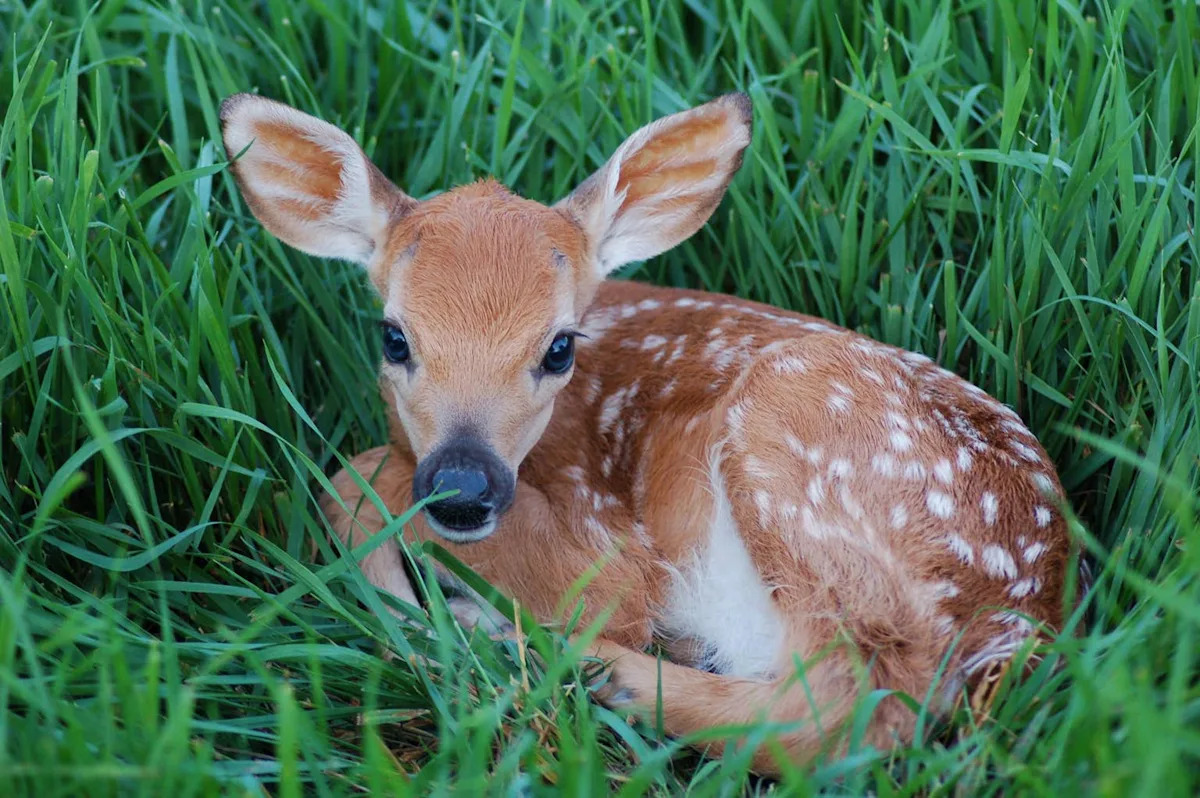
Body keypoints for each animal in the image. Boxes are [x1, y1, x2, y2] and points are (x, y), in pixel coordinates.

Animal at [219, 90, 1074, 774]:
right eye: (394, 337)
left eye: (559, 347)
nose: (462, 489)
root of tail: (1027, 617)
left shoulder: (609, 547)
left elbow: (358, 475)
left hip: (796, 436)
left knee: (856, 707)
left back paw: (573, 663)